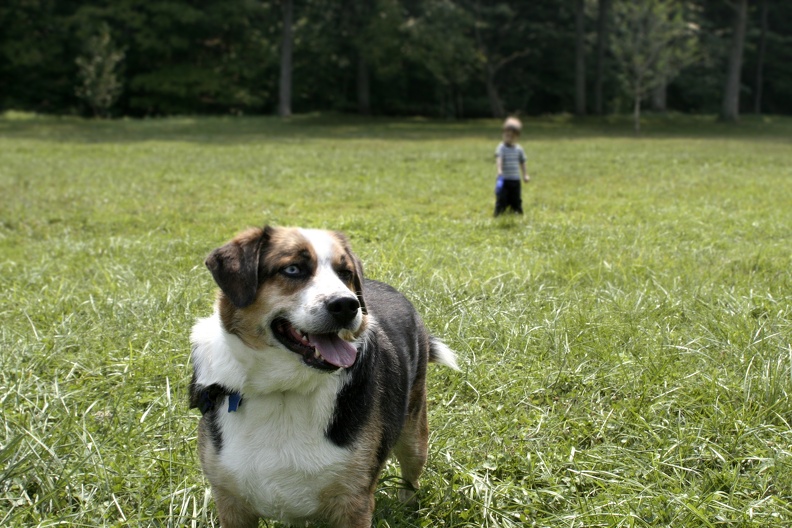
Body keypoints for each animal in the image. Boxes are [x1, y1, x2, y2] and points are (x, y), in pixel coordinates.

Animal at [189, 225, 458, 524]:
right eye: (293, 269)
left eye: (345, 273)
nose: (347, 305)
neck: (284, 390)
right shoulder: (230, 502)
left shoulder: (353, 503)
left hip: (414, 436)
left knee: (411, 477)